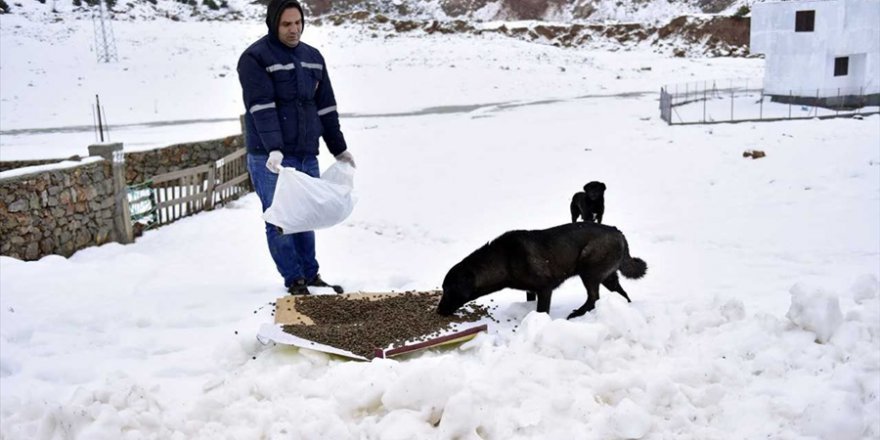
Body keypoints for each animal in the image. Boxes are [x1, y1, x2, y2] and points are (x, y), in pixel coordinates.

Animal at [434, 222, 648, 318]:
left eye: (449, 290)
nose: (438, 311)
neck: (504, 260)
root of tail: (618, 232)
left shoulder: (545, 288)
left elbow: (542, 310)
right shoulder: (531, 290)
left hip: (589, 271)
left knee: (593, 297)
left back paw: (577, 314)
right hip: (607, 276)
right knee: (621, 292)